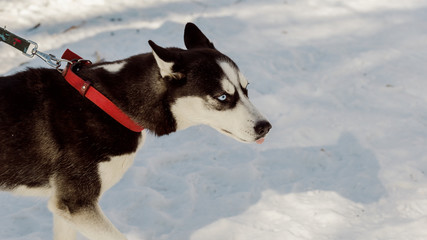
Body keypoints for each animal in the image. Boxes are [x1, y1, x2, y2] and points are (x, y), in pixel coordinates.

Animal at [0, 23, 272, 240]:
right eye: (222, 97)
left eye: (246, 88)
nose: (265, 127)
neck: (110, 103)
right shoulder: (77, 204)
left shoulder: (65, 208)